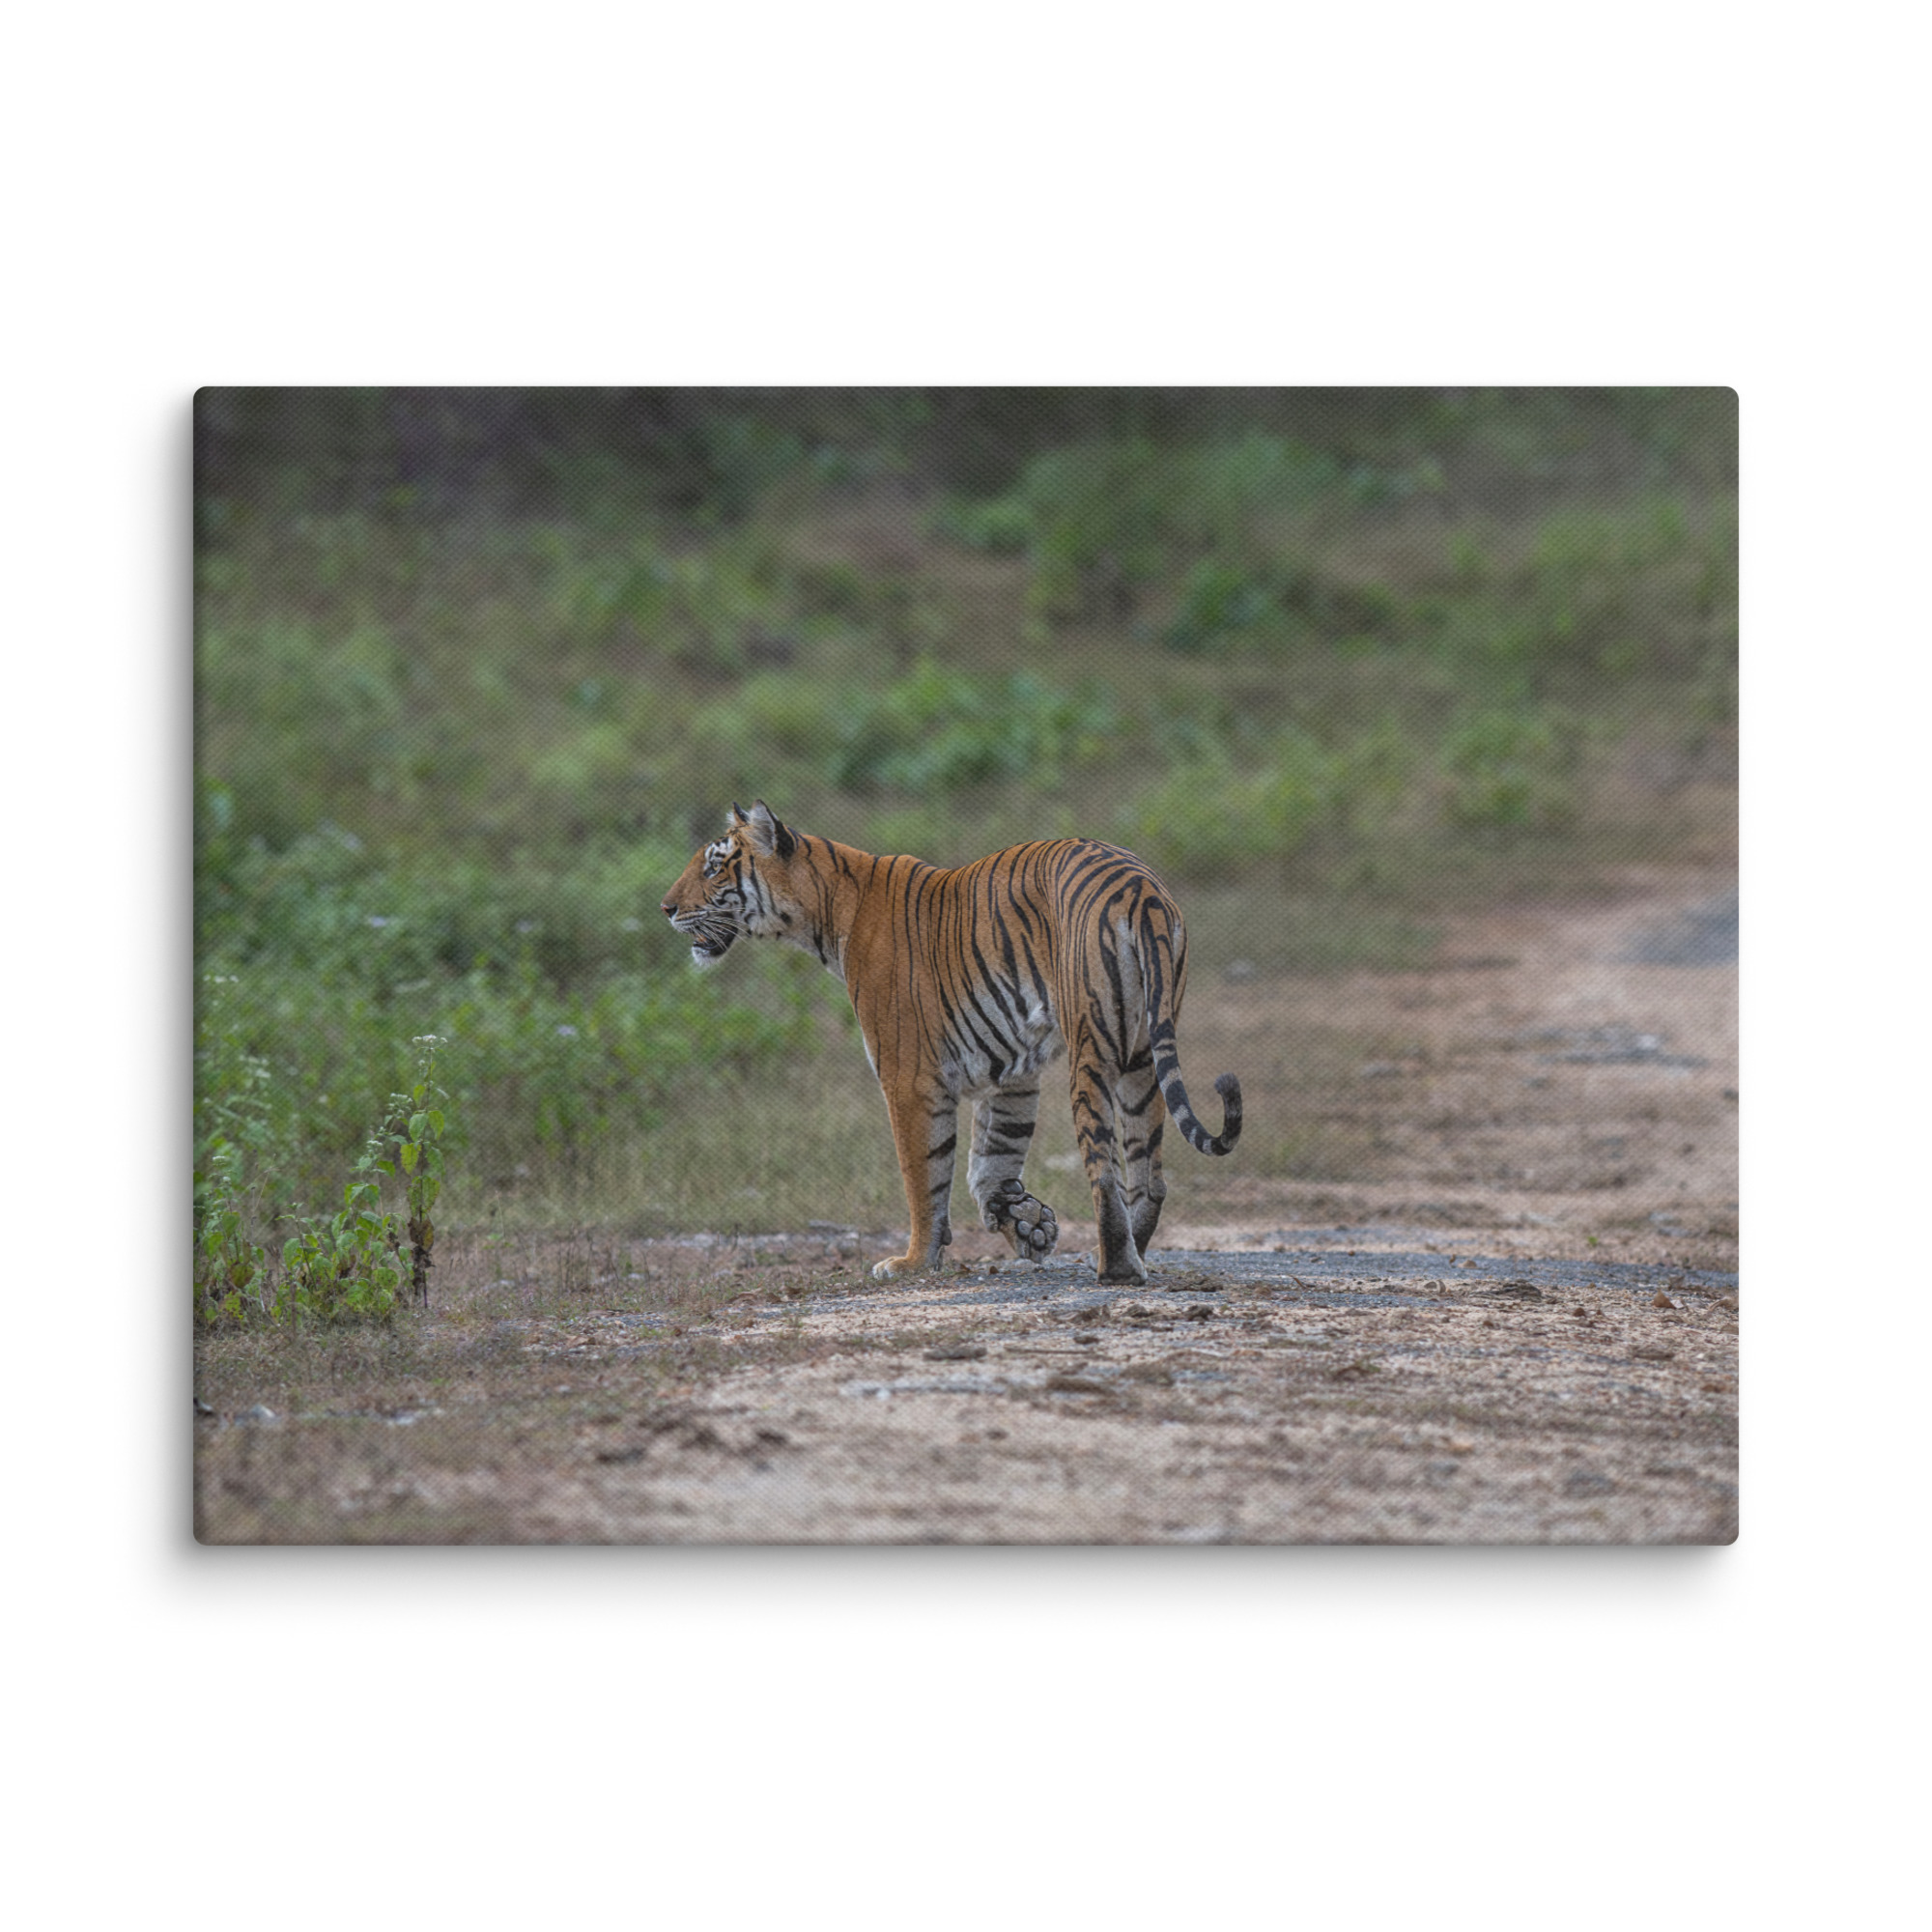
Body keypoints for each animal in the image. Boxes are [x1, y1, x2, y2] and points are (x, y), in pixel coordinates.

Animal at [660, 801, 1242, 1285]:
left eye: (714, 867)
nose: (666, 908)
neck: (825, 910)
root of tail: (1140, 889)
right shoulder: (1011, 1071)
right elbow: (991, 1158)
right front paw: (1025, 1223)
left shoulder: (908, 1077)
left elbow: (924, 1174)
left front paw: (914, 1260)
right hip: (1142, 1055)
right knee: (1149, 1174)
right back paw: (1132, 1252)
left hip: (1092, 1049)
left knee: (1104, 1169)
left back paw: (1115, 1268)